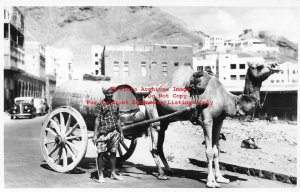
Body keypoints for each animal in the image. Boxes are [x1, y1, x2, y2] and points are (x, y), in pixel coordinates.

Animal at [144, 61, 280, 188]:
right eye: (258, 66)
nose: (276, 65)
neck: (225, 99)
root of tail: (148, 95)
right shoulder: (207, 120)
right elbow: (209, 151)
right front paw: (211, 181)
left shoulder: (219, 121)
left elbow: (216, 151)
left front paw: (220, 178)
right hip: (153, 111)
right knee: (153, 143)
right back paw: (161, 174)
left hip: (165, 120)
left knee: (160, 144)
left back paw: (169, 170)